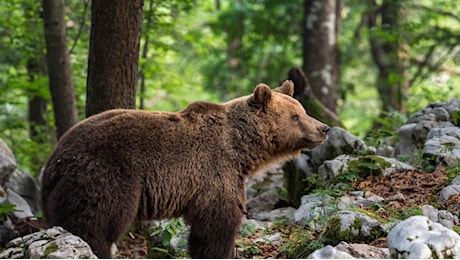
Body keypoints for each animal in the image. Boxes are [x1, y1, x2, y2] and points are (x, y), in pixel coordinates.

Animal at [41, 80, 328, 258]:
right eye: (295, 116)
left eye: (303, 110)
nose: (323, 128)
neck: (241, 148)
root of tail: (55, 158)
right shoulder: (215, 170)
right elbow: (217, 223)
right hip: (105, 176)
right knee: (92, 224)